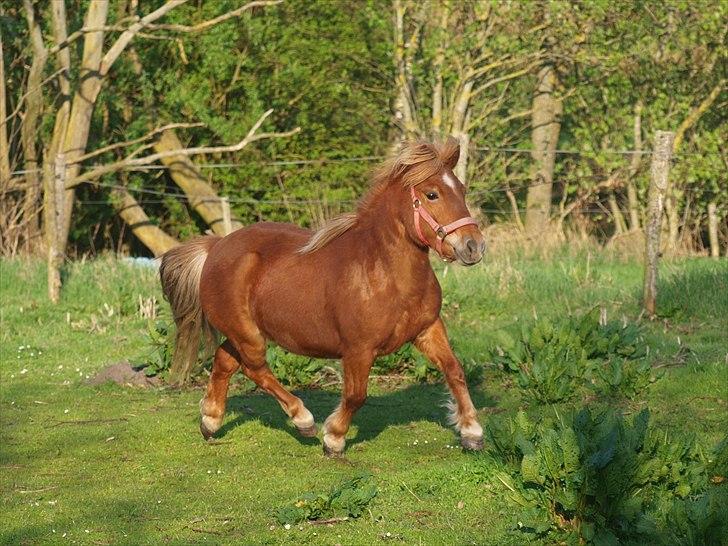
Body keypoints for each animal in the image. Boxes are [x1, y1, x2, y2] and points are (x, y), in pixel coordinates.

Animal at [162, 137, 486, 454]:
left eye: (462, 190)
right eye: (432, 194)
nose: (474, 246)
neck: (384, 274)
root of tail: (215, 247)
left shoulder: (428, 329)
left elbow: (455, 371)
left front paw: (472, 432)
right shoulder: (358, 349)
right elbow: (356, 395)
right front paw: (334, 438)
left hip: (244, 332)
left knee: (225, 361)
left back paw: (210, 420)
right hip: (248, 336)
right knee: (255, 369)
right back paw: (302, 420)